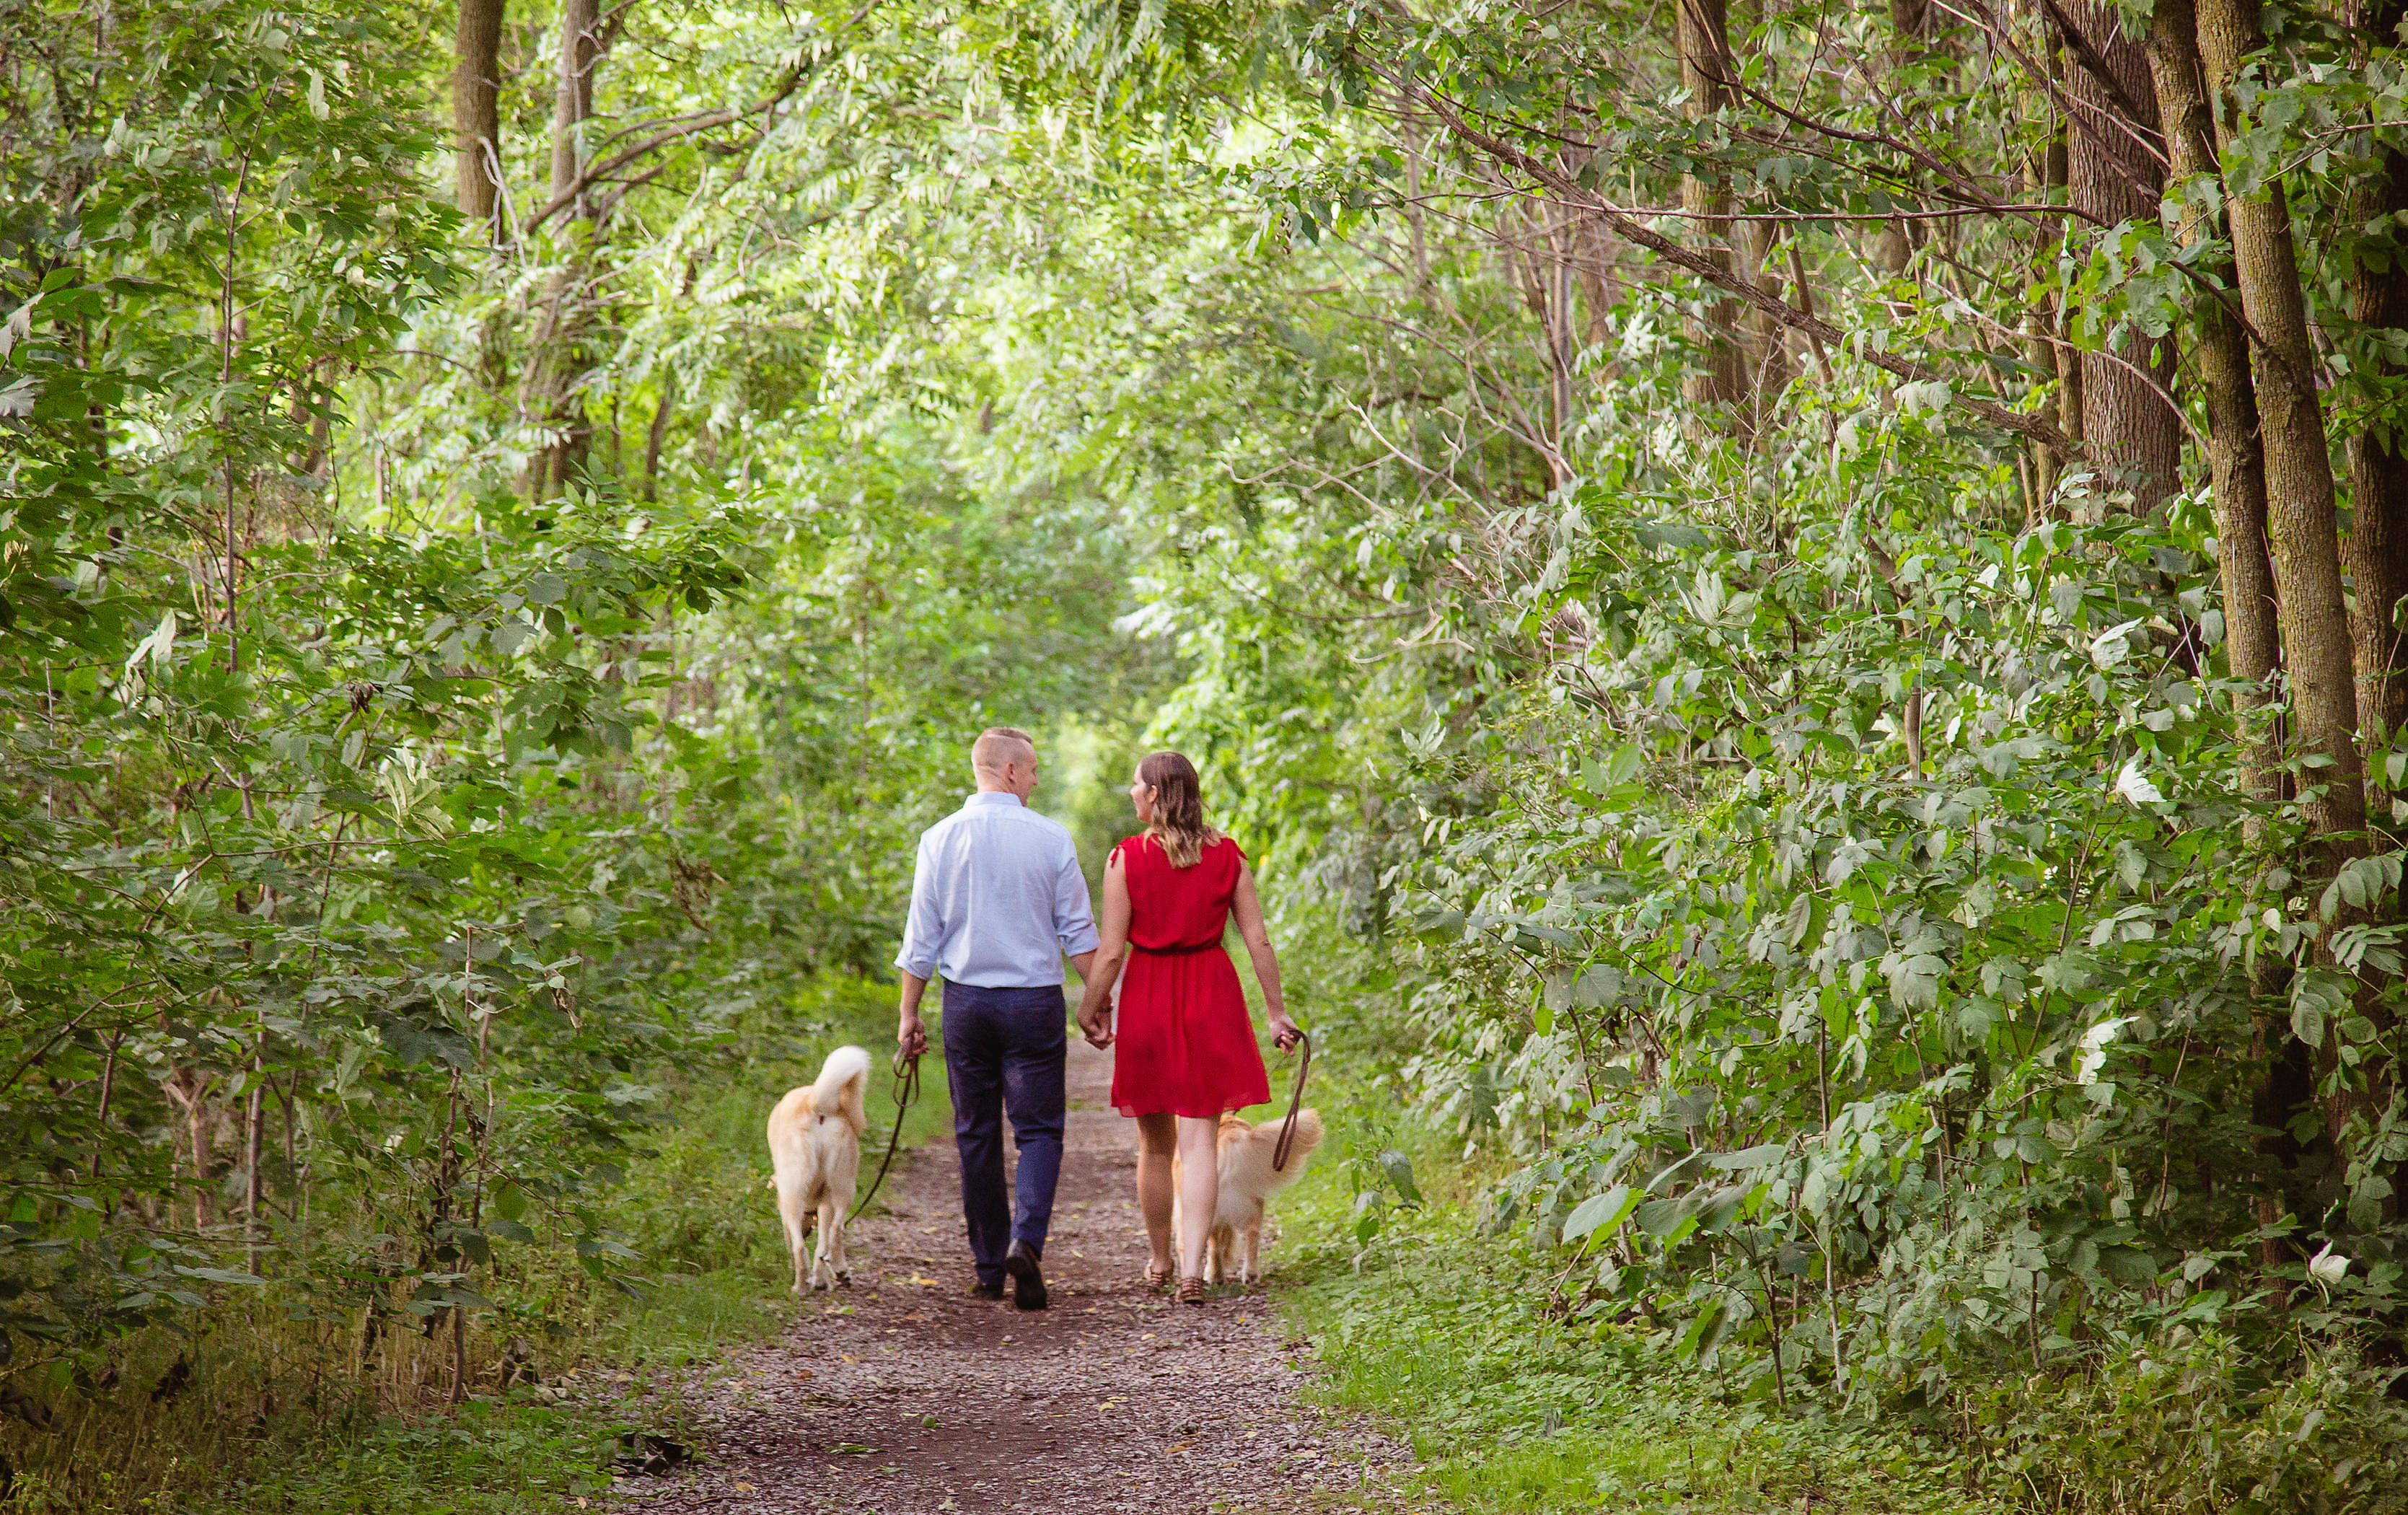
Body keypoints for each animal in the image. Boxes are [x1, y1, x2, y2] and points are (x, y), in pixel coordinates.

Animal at [765, 1050, 871, 1291]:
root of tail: (816, 1104)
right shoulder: (825, 1203)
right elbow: (822, 1247)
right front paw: (822, 1280)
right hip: (843, 1184)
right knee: (835, 1231)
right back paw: (835, 1273)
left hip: (795, 1192)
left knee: (801, 1246)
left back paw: (802, 1287)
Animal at [1174, 1103, 1329, 1281]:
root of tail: (1231, 1135)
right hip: (1253, 1201)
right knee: (1252, 1234)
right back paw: (1250, 1273)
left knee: (1213, 1244)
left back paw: (1216, 1275)